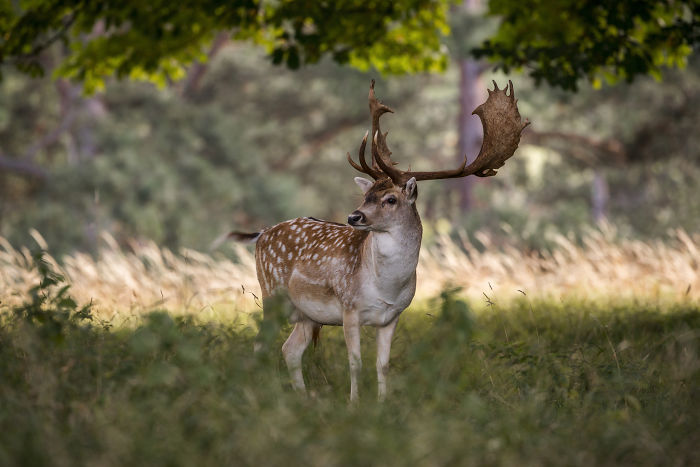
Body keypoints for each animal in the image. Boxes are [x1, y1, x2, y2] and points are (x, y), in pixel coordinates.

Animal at [229, 80, 529, 401]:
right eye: (366, 195)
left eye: (390, 199)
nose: (354, 216)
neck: (386, 286)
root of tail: (262, 234)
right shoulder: (349, 308)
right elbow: (355, 362)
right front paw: (354, 404)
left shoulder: (393, 316)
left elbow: (382, 365)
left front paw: (383, 403)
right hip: (271, 293)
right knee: (260, 345)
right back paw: (258, 394)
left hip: (306, 314)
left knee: (290, 349)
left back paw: (302, 398)